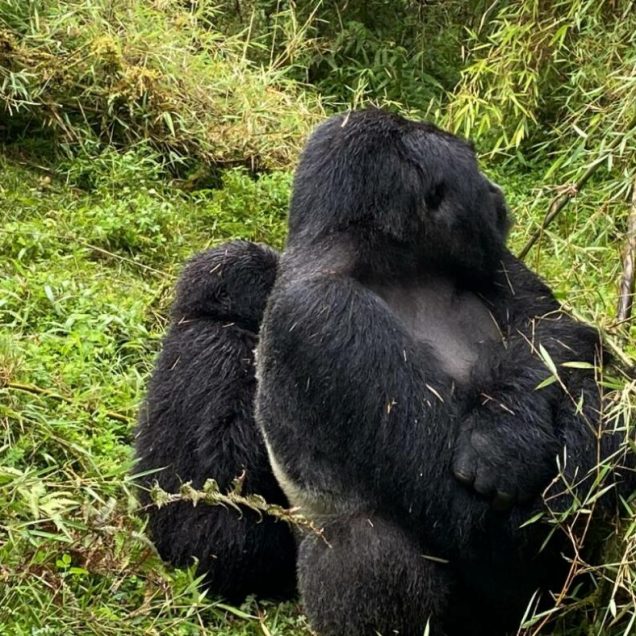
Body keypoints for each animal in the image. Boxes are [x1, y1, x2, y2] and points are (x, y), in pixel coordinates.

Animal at [255, 110, 620, 636]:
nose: (495, 191)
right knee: (370, 545)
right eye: (474, 171)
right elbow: (469, 516)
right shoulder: (325, 315)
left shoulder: (493, 259)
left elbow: (555, 333)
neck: (391, 262)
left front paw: (507, 436)